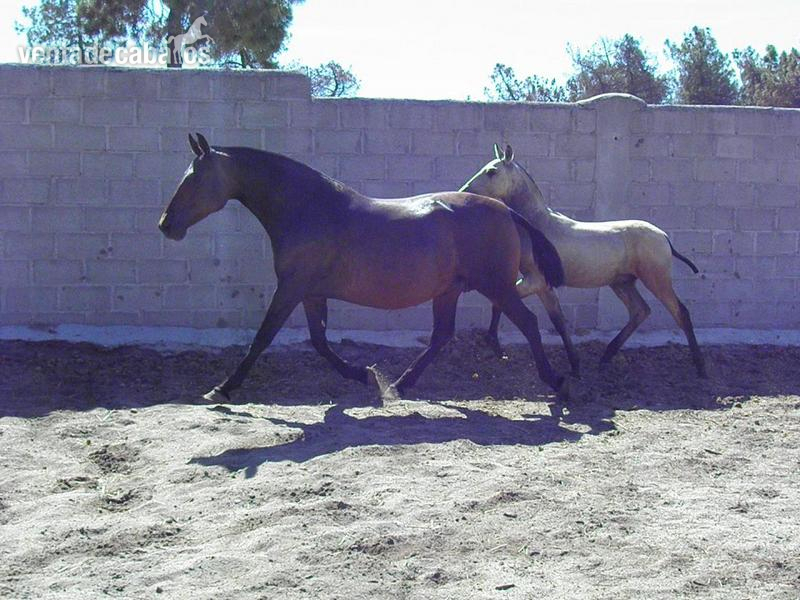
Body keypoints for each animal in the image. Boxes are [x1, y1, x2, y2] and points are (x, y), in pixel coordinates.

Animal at [158, 134, 569, 402]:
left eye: (193, 179)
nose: (166, 224)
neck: (307, 208)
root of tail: (507, 211)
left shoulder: (290, 288)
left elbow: (262, 339)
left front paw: (222, 388)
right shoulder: (310, 292)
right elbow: (319, 341)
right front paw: (363, 375)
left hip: (496, 286)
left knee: (529, 323)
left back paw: (557, 381)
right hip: (449, 290)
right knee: (441, 336)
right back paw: (401, 384)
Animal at [460, 144, 706, 379]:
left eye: (492, 171)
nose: (465, 193)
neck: (539, 226)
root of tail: (664, 237)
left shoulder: (534, 281)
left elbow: (500, 302)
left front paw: (493, 344)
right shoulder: (544, 286)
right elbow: (559, 323)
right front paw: (575, 367)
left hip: (656, 280)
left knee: (680, 313)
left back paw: (700, 367)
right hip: (622, 283)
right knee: (640, 311)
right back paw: (606, 356)